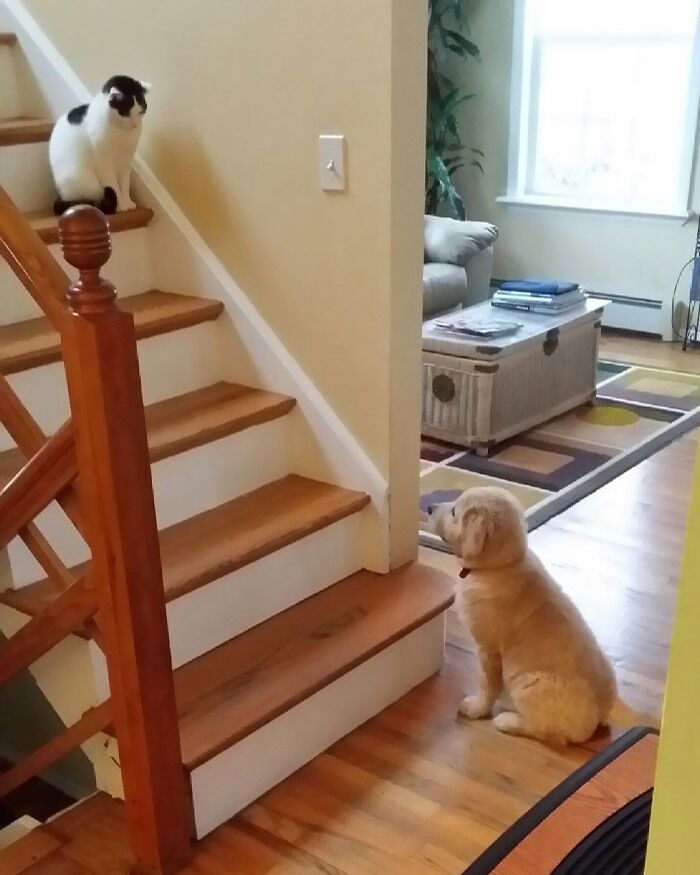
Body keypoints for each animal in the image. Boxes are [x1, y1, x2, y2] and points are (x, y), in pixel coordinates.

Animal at [49, 77, 150, 217]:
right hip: (83, 182)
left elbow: (125, 185)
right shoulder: (104, 164)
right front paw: (121, 206)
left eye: (140, 112)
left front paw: (128, 203)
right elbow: (114, 186)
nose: (135, 124)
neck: (123, 135)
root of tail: (61, 195)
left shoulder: (126, 162)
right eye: (126, 113)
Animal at [430, 486, 616, 744]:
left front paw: (477, 707)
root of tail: (600, 715)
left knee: (544, 730)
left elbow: (487, 682)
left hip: (528, 682)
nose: (429, 507)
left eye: (455, 512)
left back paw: (507, 721)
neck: (496, 567)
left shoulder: (488, 648)